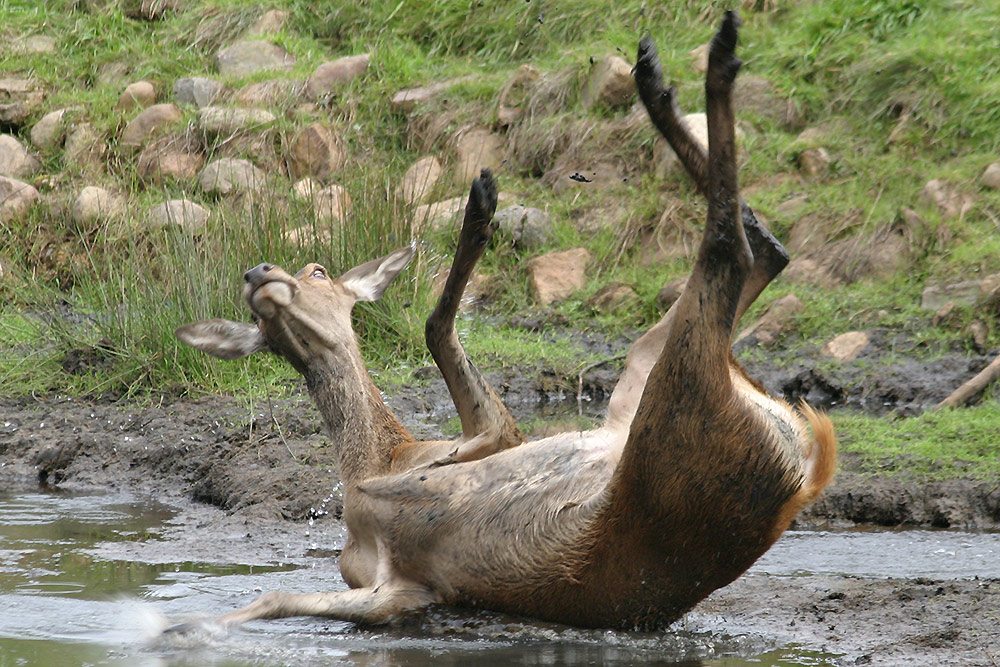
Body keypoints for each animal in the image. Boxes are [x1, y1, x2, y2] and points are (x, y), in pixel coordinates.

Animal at [174, 11, 836, 636]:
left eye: (316, 269)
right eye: (257, 325)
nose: (256, 271)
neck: (375, 461)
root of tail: (803, 469)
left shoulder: (493, 437)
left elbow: (437, 334)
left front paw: (482, 210)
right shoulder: (398, 584)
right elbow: (277, 597)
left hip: (664, 406)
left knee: (741, 247)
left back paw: (669, 74)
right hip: (667, 401)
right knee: (750, 248)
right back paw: (677, 70)